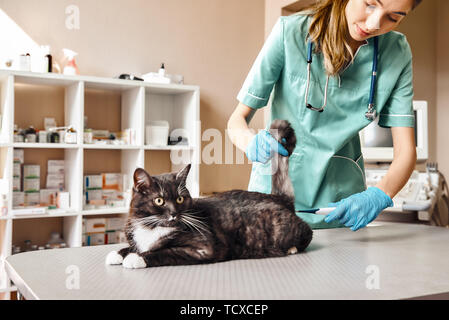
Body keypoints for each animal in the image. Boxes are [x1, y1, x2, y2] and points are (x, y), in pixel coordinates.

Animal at [104, 119, 312, 268]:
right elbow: (130, 246)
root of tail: (278, 197)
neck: (150, 227)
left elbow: (163, 252)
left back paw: (292, 248)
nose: (174, 213)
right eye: (159, 200)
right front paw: (117, 254)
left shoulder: (202, 248)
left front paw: (136, 258)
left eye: (180, 199)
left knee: (307, 233)